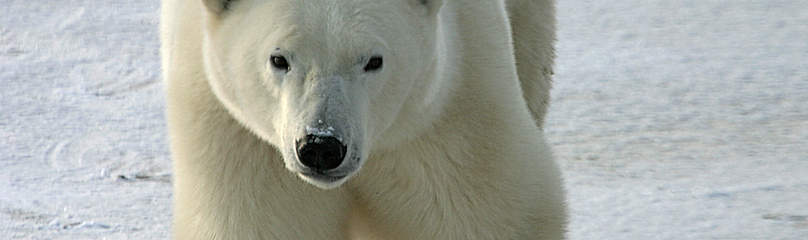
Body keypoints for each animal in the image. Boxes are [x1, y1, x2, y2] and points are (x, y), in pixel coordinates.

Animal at [158, 0, 560, 238]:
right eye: (278, 58)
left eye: (373, 60)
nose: (321, 146)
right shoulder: (233, 130)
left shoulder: (448, 111)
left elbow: (485, 213)